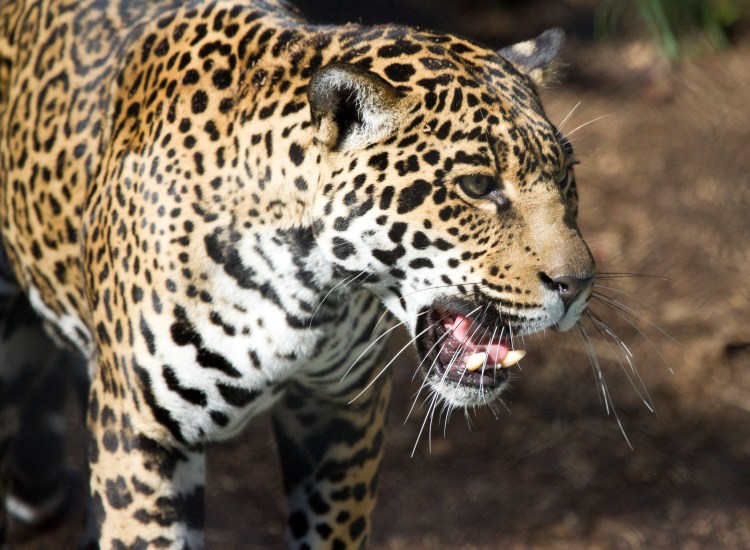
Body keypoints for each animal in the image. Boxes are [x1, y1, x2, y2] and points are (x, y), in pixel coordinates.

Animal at [0, 0, 596, 547]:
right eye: (477, 186)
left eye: (566, 175)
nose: (578, 285)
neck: (306, 288)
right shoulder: (140, 435)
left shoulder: (341, 410)